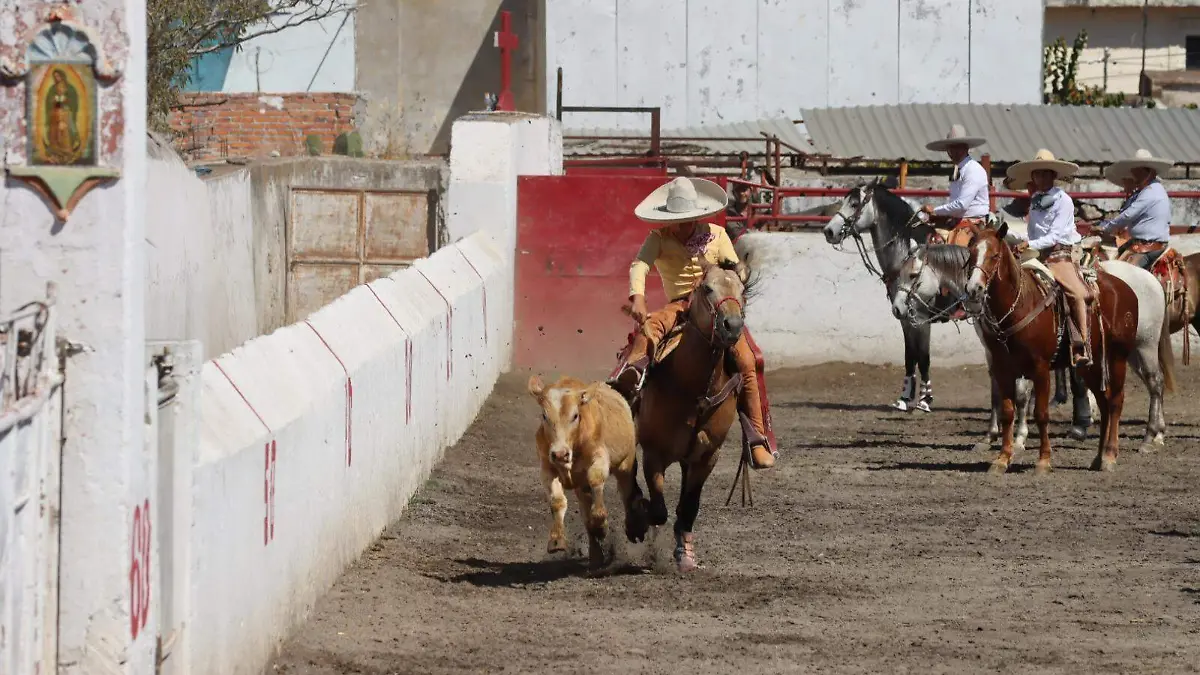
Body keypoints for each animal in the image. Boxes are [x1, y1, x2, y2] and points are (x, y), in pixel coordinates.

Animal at [530, 372, 648, 566]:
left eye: (575, 415)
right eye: (544, 416)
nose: (560, 454)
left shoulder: (599, 458)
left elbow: (596, 479)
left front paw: (600, 523)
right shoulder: (547, 467)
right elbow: (557, 500)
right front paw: (556, 540)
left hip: (625, 464)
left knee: (626, 493)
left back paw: (632, 527)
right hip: (580, 485)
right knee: (585, 509)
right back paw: (596, 554)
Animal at [638, 257, 748, 566]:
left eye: (742, 290)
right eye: (707, 288)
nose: (732, 326)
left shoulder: (708, 455)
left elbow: (689, 506)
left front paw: (685, 554)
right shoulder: (653, 453)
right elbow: (657, 509)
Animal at [955, 223, 1161, 470]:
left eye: (994, 255)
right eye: (971, 253)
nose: (974, 289)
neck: (1021, 303)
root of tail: (1127, 288)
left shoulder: (1040, 368)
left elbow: (1040, 413)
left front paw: (1043, 460)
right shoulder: (1002, 367)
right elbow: (1007, 410)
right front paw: (1002, 459)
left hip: (1124, 354)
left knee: (1118, 400)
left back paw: (1114, 454)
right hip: (1090, 364)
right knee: (1104, 401)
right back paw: (1099, 457)